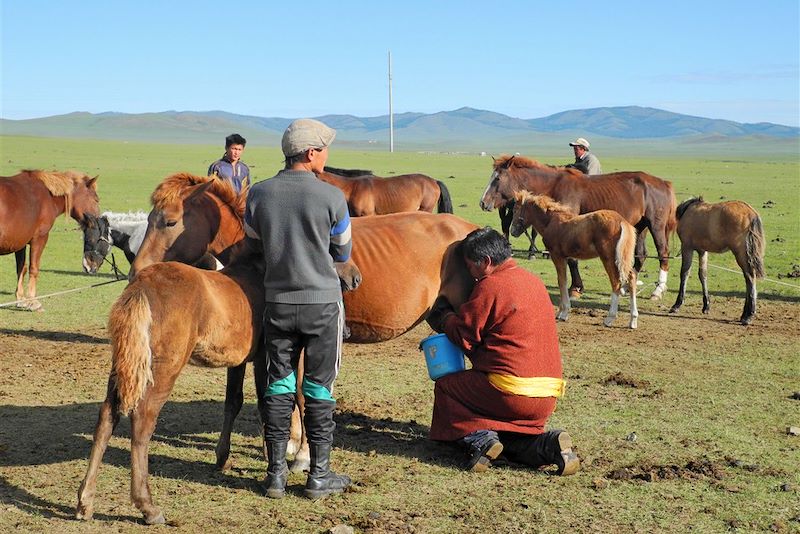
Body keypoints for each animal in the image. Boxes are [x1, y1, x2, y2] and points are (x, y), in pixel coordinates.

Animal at [0, 170, 100, 312]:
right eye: (96, 200)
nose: (99, 223)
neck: (48, 195)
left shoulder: (19, 243)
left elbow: (21, 269)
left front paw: (21, 299)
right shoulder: (39, 238)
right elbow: (33, 268)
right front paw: (33, 301)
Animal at [482, 156, 676, 302]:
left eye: (497, 178)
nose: (483, 202)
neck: (553, 186)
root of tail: (664, 183)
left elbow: (572, 260)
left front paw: (576, 288)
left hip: (656, 226)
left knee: (663, 253)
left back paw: (657, 291)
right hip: (639, 227)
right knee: (641, 254)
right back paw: (626, 286)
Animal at [510, 191, 640, 328]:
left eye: (515, 209)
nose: (513, 231)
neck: (550, 221)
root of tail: (622, 221)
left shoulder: (557, 256)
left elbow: (561, 281)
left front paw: (563, 313)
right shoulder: (565, 257)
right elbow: (564, 280)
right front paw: (561, 311)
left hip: (608, 258)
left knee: (616, 282)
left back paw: (609, 319)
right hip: (622, 258)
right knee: (631, 277)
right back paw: (633, 320)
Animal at [664, 196, 764, 324]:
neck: (687, 211)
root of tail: (751, 213)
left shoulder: (687, 248)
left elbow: (684, 273)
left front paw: (677, 305)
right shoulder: (702, 251)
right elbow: (703, 275)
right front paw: (706, 305)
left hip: (741, 254)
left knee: (750, 277)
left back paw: (748, 316)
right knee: (749, 279)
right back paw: (744, 314)